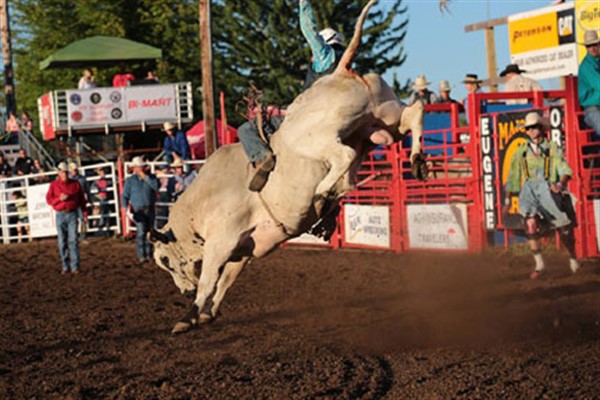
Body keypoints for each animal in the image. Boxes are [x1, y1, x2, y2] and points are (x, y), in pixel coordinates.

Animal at [150, 0, 426, 332]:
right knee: (414, 113)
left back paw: (323, 193)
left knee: (344, 158)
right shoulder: (243, 249)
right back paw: (416, 163)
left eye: (165, 260)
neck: (200, 202)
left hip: (317, 138)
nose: (183, 290)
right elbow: (225, 282)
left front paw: (187, 316)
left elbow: (209, 281)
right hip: (384, 119)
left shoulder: (222, 240)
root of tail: (342, 70)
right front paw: (207, 312)